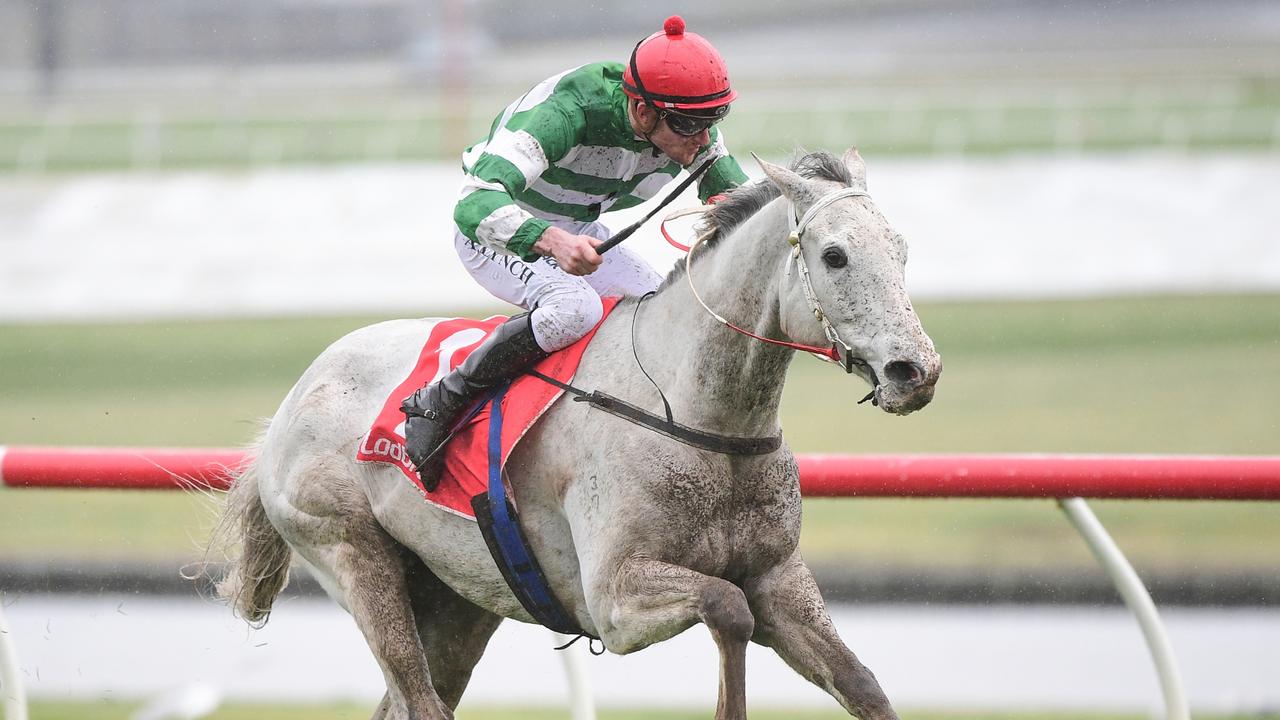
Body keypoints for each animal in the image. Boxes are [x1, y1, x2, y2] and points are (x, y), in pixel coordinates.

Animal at [210, 148, 942, 720]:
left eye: (903, 250)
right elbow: (727, 606)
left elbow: (861, 685)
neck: (700, 413)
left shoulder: (778, 576)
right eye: (835, 255)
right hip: (352, 555)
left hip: (457, 595)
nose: (916, 371)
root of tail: (289, 405)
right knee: (418, 697)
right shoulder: (614, 598)